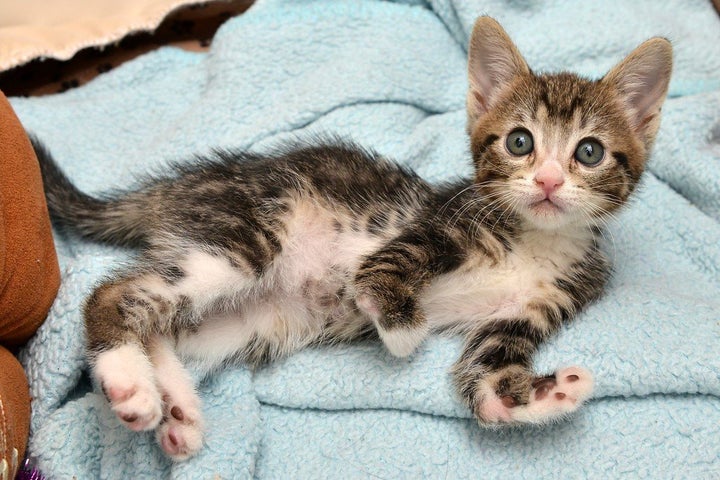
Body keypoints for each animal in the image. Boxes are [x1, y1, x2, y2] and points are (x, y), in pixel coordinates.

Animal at [35, 16, 676, 462]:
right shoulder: (440, 224)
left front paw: (542, 395)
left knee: (164, 322)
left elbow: (486, 378)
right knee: (113, 292)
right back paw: (129, 384)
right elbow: (383, 271)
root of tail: (189, 182)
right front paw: (400, 326)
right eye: (520, 142)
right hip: (244, 240)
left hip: (244, 321)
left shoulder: (541, 305)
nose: (547, 181)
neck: (538, 238)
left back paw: (176, 408)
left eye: (588, 152)